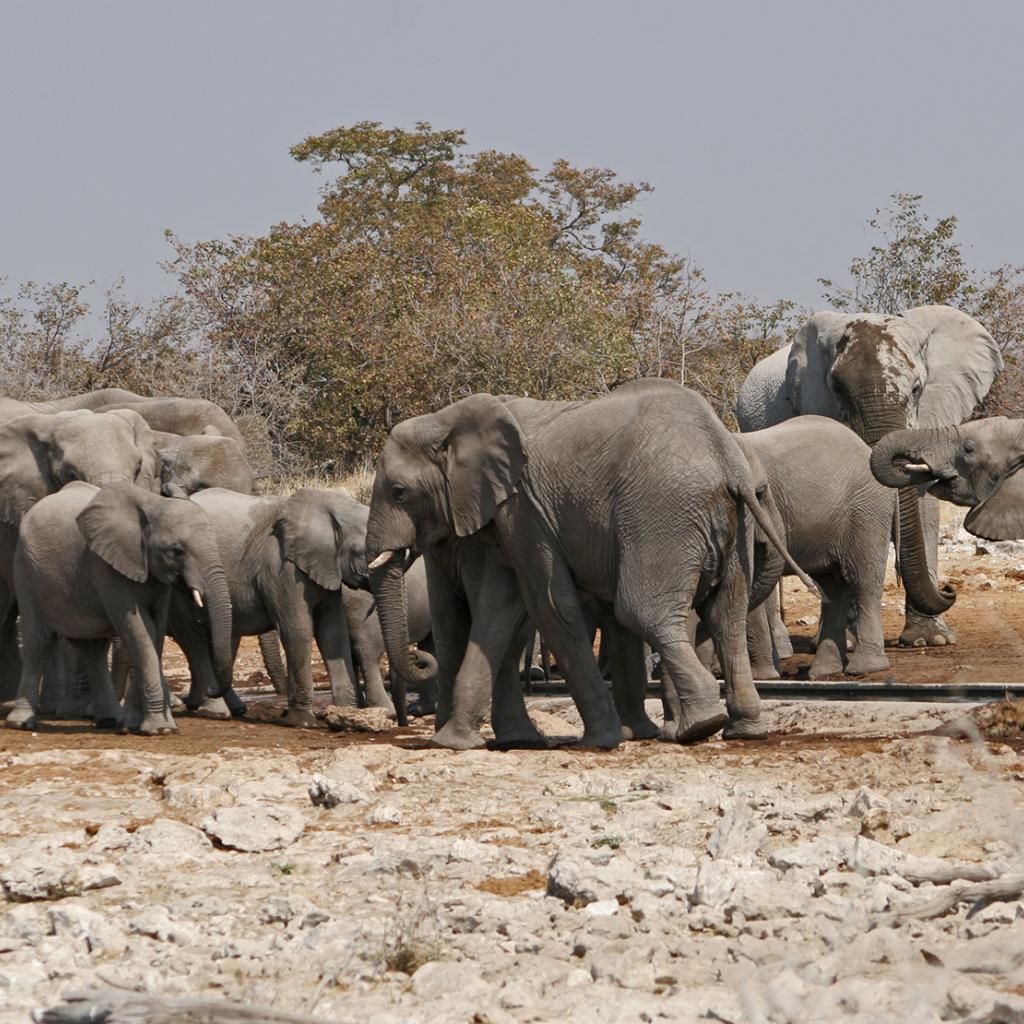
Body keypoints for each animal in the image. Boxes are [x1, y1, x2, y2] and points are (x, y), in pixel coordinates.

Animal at [4, 481, 232, 737]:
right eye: (177, 550)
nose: (211, 689)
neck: (152, 504)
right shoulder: (107, 567)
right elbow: (140, 630)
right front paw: (160, 728)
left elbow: (154, 632)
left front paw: (134, 725)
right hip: (25, 570)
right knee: (37, 641)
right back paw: (21, 723)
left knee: (93, 649)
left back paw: (109, 720)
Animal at [173, 487, 372, 729]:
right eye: (366, 551)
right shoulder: (281, 567)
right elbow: (297, 630)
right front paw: (304, 722)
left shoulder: (326, 569)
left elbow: (333, 632)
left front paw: (347, 715)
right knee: (194, 635)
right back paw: (210, 706)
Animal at [368, 376, 815, 745]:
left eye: (399, 492)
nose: (419, 658)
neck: (446, 418)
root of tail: (726, 459)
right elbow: (506, 606)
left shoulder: (526, 510)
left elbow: (550, 605)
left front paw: (603, 740)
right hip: (723, 524)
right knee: (725, 615)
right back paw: (740, 730)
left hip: (659, 515)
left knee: (642, 610)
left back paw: (697, 727)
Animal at [737, 299, 999, 647]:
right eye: (836, 389)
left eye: (917, 389)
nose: (949, 589)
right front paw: (847, 642)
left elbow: (924, 507)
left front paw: (929, 640)